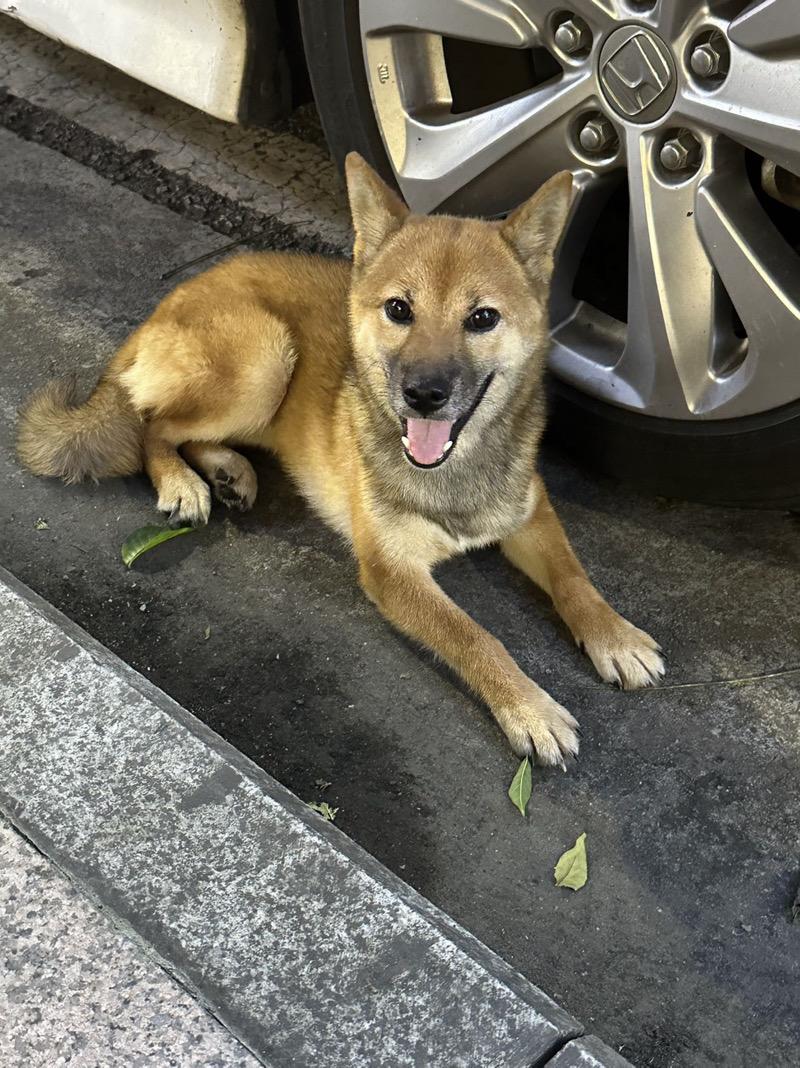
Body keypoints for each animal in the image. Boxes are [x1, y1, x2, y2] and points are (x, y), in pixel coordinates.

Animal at [17, 152, 662, 768]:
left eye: (482, 318)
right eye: (399, 309)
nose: (423, 394)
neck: (451, 468)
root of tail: (180, 292)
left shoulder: (528, 512)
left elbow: (574, 576)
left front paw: (614, 636)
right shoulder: (392, 571)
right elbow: (476, 637)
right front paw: (529, 707)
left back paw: (228, 470)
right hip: (266, 355)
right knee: (152, 424)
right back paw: (183, 482)